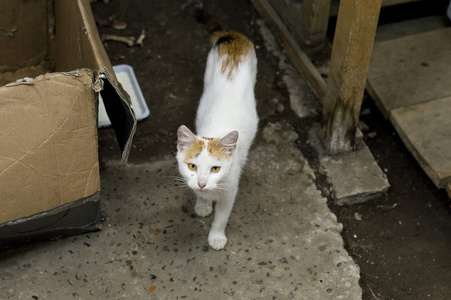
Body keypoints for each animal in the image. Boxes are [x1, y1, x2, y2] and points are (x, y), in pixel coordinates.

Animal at [177, 3, 260, 250]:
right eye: (192, 166)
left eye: (216, 168)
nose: (203, 183)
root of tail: (231, 35)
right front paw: (203, 204)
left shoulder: (230, 191)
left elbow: (222, 217)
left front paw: (216, 237)